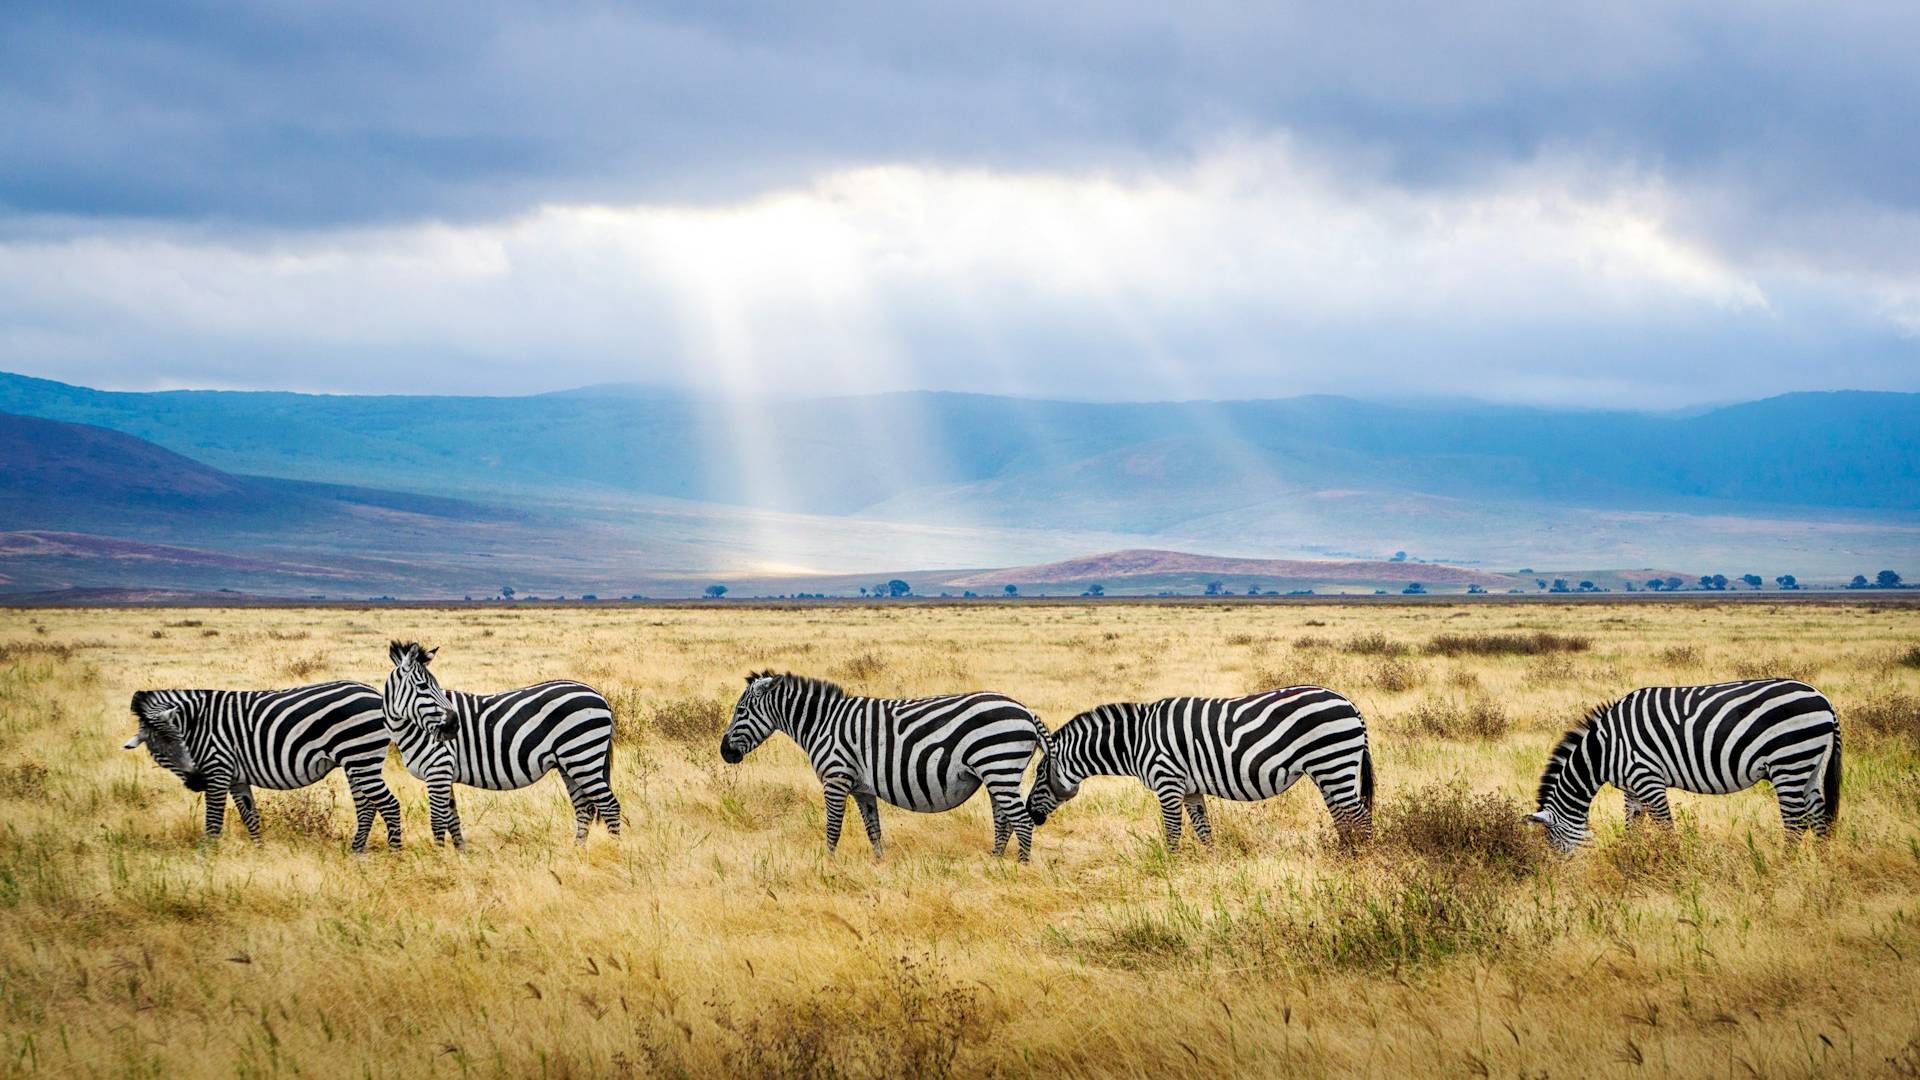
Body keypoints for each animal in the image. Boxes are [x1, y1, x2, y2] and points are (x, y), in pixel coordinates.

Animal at [120, 680, 405, 849]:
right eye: (160, 751)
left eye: (180, 741)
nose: (197, 781)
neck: (197, 724)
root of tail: (376, 693)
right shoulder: (236, 778)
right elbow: (250, 817)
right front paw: (259, 852)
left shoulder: (218, 770)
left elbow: (213, 823)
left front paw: (207, 860)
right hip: (355, 762)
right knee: (366, 807)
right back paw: (357, 852)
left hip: (361, 757)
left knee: (389, 805)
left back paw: (394, 854)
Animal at [385, 634, 625, 845]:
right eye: (423, 686)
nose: (454, 725)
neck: (412, 728)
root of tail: (599, 695)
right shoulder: (444, 773)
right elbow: (452, 819)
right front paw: (460, 854)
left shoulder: (438, 769)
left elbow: (437, 821)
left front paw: (441, 856)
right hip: (570, 763)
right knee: (585, 807)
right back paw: (578, 851)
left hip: (583, 756)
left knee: (609, 806)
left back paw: (614, 849)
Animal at [721, 672, 1052, 857]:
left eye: (740, 710)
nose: (725, 752)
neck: (822, 723)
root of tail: (1026, 711)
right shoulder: (862, 788)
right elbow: (874, 829)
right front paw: (878, 866)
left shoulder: (836, 778)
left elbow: (833, 828)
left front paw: (827, 865)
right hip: (997, 773)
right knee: (1003, 822)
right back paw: (995, 863)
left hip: (998, 766)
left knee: (1021, 822)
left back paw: (1020, 869)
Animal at [1029, 684, 1374, 845]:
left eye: (1040, 773)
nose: (1032, 814)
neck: (1135, 741)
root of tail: (1349, 703)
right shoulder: (1190, 789)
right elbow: (1204, 830)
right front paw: (1211, 867)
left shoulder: (1167, 783)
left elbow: (1172, 833)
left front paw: (1170, 871)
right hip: (1328, 770)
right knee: (1344, 816)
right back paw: (1344, 855)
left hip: (1333, 762)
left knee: (1359, 816)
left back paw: (1361, 860)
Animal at [1528, 676, 1843, 853]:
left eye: (1554, 843)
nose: (1564, 877)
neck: (1604, 750)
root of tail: (1824, 699)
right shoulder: (1631, 787)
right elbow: (1633, 825)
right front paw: (1631, 858)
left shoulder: (1648, 778)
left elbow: (1665, 826)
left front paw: (1674, 862)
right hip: (1809, 765)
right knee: (1818, 817)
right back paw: (1821, 868)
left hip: (1788, 761)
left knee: (1795, 822)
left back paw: (1782, 868)